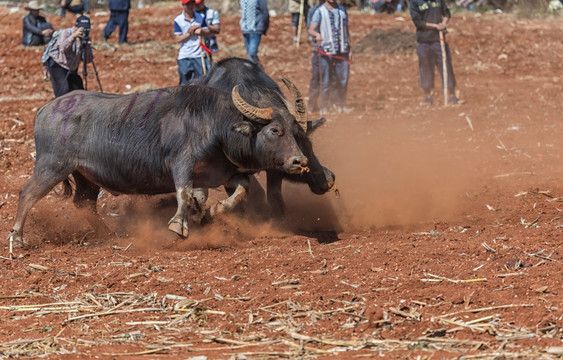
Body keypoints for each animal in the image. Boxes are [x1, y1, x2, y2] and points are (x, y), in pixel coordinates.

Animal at [6, 84, 308, 248]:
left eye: (295, 131)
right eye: (275, 130)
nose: (300, 161)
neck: (216, 123)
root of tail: (45, 109)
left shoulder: (224, 173)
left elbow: (241, 191)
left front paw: (209, 213)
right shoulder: (182, 163)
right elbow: (184, 192)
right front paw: (178, 225)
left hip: (85, 176)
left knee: (84, 203)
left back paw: (108, 234)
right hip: (52, 166)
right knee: (27, 193)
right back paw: (17, 239)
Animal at [192, 57, 338, 218]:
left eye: (308, 146)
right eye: (274, 130)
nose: (328, 179)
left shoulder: (274, 169)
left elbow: (274, 197)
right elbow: (249, 194)